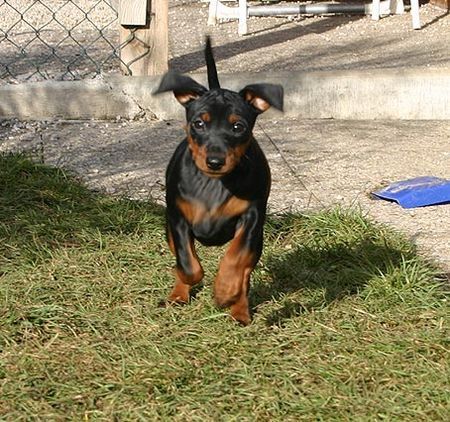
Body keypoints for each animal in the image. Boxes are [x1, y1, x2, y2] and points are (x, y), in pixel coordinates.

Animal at [153, 38, 284, 324]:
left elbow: (236, 259)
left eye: (238, 127)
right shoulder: (177, 218)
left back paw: (239, 310)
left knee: (245, 269)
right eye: (198, 124)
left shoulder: (251, 218)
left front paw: (225, 290)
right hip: (169, 230)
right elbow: (188, 264)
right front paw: (194, 282)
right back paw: (178, 296)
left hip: (258, 241)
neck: (215, 184)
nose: (214, 161)